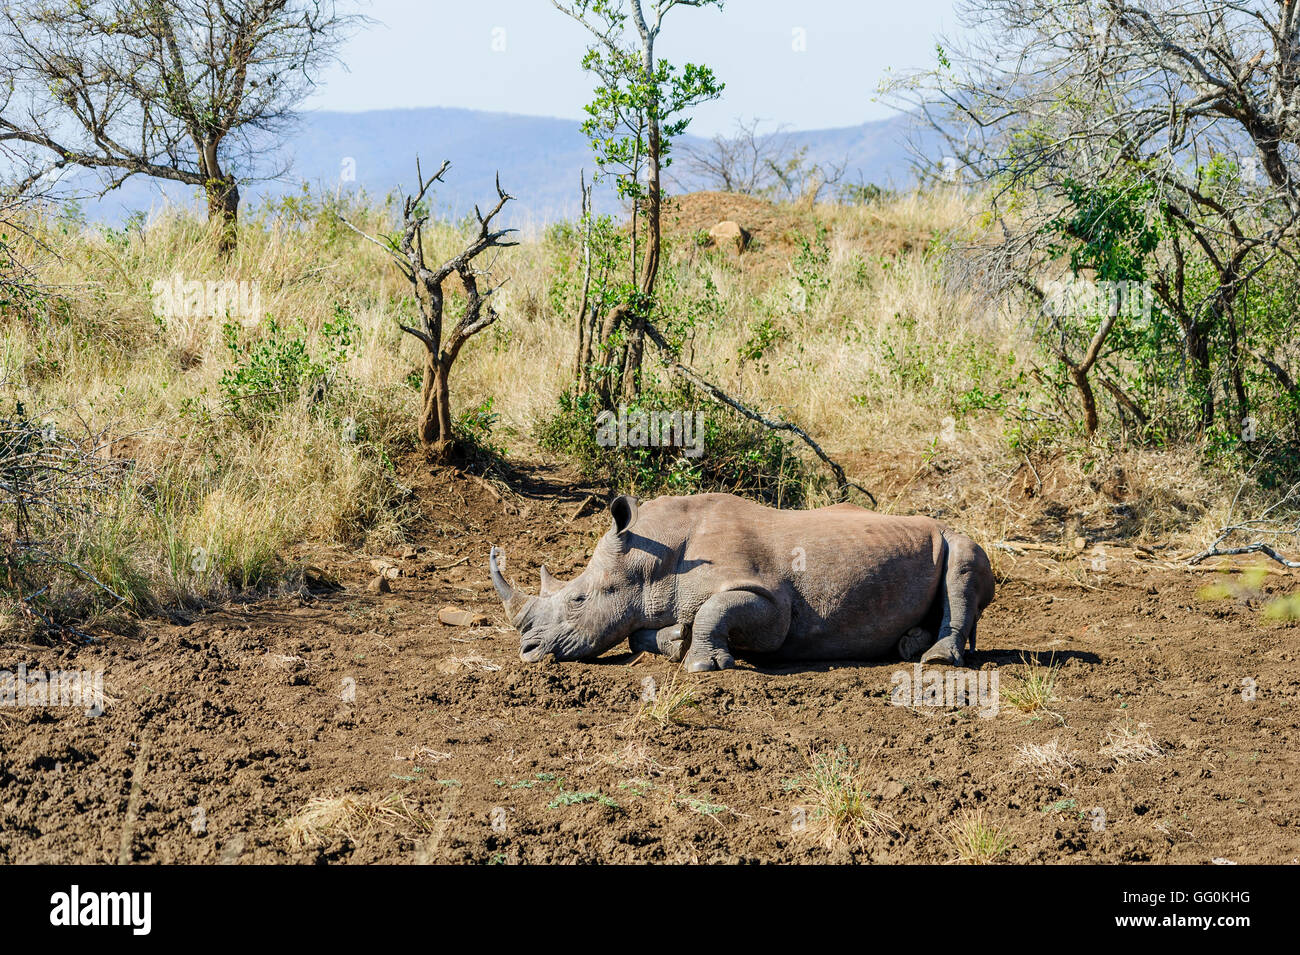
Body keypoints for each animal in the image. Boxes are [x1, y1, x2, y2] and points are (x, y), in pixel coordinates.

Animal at [488, 493, 993, 670]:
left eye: (577, 599)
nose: (527, 652)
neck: (653, 559)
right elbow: (637, 635)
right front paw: (675, 640)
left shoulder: (768, 601)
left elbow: (717, 610)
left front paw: (701, 664)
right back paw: (908, 646)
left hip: (954, 536)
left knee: (963, 561)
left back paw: (934, 659)